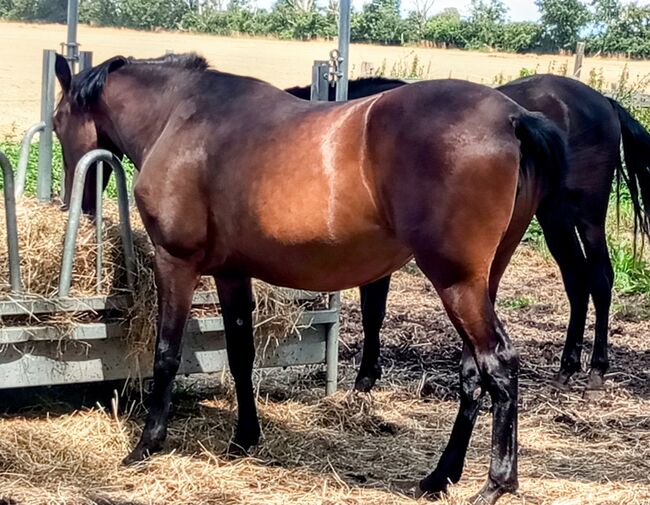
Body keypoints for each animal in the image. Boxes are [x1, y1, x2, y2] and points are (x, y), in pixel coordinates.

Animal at [52, 53, 568, 502]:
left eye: (57, 124)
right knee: (472, 371)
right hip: (480, 282)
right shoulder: (232, 273)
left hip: (456, 283)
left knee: (497, 363)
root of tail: (513, 118)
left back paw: (496, 484)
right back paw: (439, 476)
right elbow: (241, 354)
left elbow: (166, 354)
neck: (184, 116)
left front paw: (146, 443)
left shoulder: (175, 263)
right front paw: (244, 438)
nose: (78, 205)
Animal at [286, 74, 648, 390]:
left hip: (587, 215)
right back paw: (566, 368)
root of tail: (602, 101)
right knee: (576, 279)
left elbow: (372, 311)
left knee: (600, 278)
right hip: (554, 217)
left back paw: (597, 370)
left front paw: (365, 378)